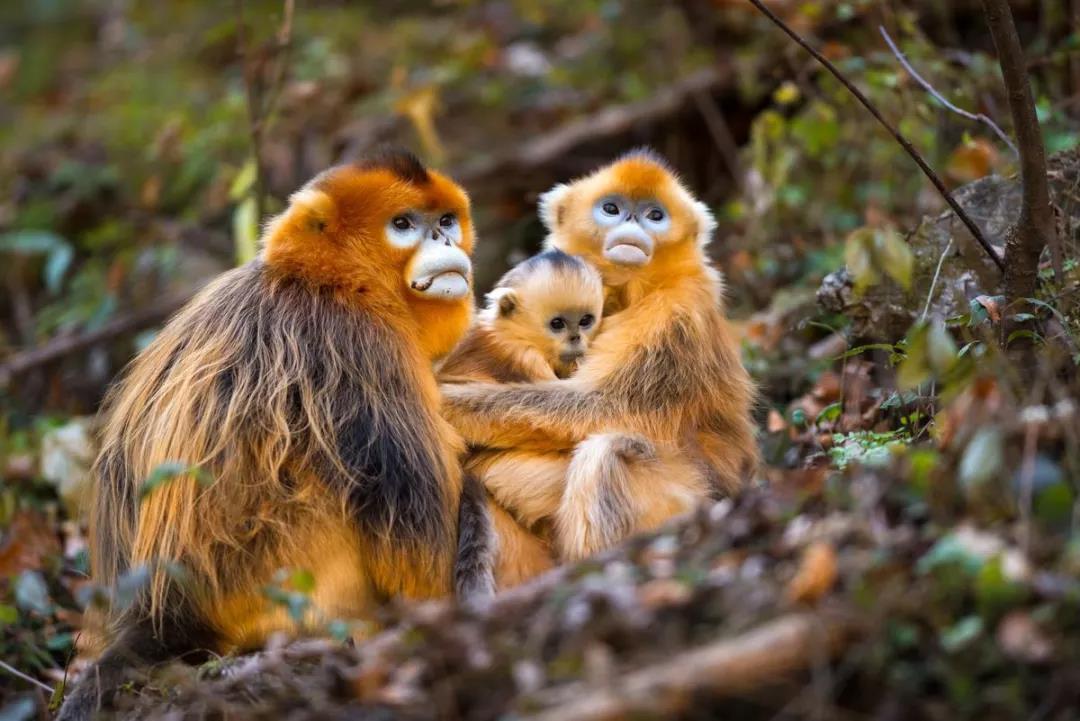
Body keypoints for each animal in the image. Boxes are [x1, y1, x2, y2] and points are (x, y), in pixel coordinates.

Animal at [61, 148, 492, 716]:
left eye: (445, 221)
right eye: (403, 225)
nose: (444, 240)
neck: (322, 282)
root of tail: (161, 615)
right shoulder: (361, 347)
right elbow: (418, 561)